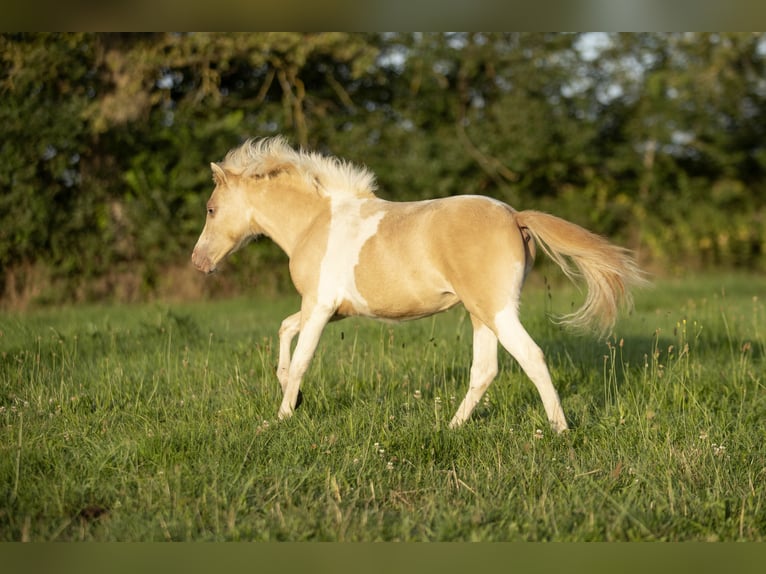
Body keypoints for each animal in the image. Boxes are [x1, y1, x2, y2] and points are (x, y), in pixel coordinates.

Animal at [192, 138, 648, 436]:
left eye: (211, 209)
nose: (199, 262)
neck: (315, 222)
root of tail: (514, 215)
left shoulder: (319, 306)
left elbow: (303, 356)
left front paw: (284, 415)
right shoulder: (326, 308)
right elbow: (285, 330)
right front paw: (291, 392)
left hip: (496, 311)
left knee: (531, 358)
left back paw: (560, 430)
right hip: (480, 314)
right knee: (485, 370)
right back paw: (453, 427)